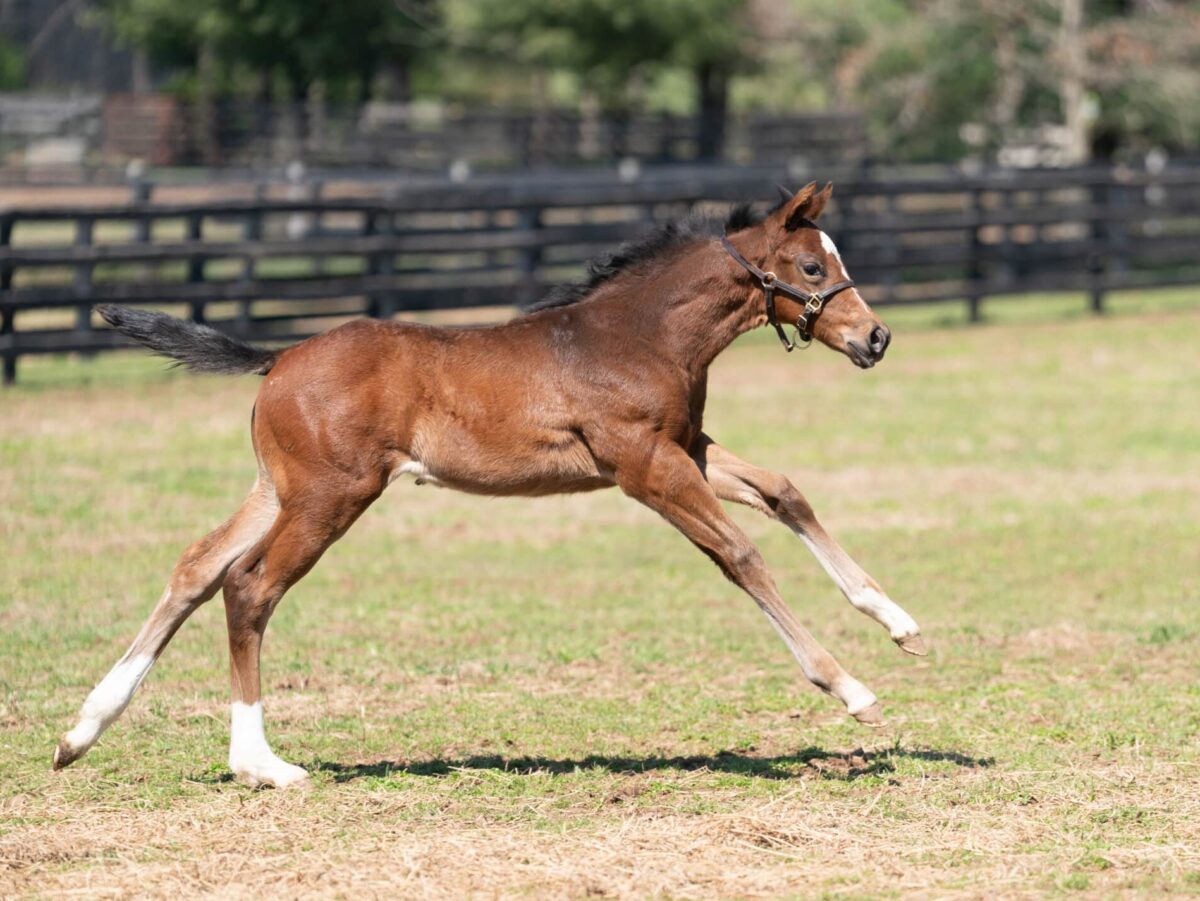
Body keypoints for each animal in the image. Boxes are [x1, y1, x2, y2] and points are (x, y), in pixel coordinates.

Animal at [56, 179, 926, 787]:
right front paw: (851, 688)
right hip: (332, 495)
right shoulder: (644, 466)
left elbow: (785, 491)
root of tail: (278, 357)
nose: (877, 337)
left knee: (197, 567)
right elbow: (740, 554)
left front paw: (899, 621)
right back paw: (262, 763)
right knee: (249, 586)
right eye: (812, 266)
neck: (637, 333)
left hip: (279, 487)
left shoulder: (686, 446)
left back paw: (81, 731)